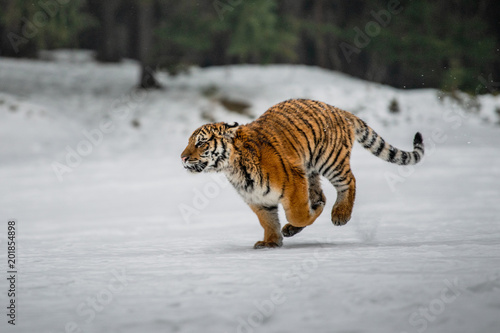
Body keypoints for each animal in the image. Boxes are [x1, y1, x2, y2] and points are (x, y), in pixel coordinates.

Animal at [182, 97, 424, 248]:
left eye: (201, 143)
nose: (182, 157)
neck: (234, 169)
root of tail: (337, 109)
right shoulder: (257, 198)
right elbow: (268, 221)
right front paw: (271, 242)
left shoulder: (293, 181)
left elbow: (297, 213)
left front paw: (304, 218)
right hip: (312, 170)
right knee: (322, 194)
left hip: (330, 161)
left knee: (349, 181)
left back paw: (340, 214)